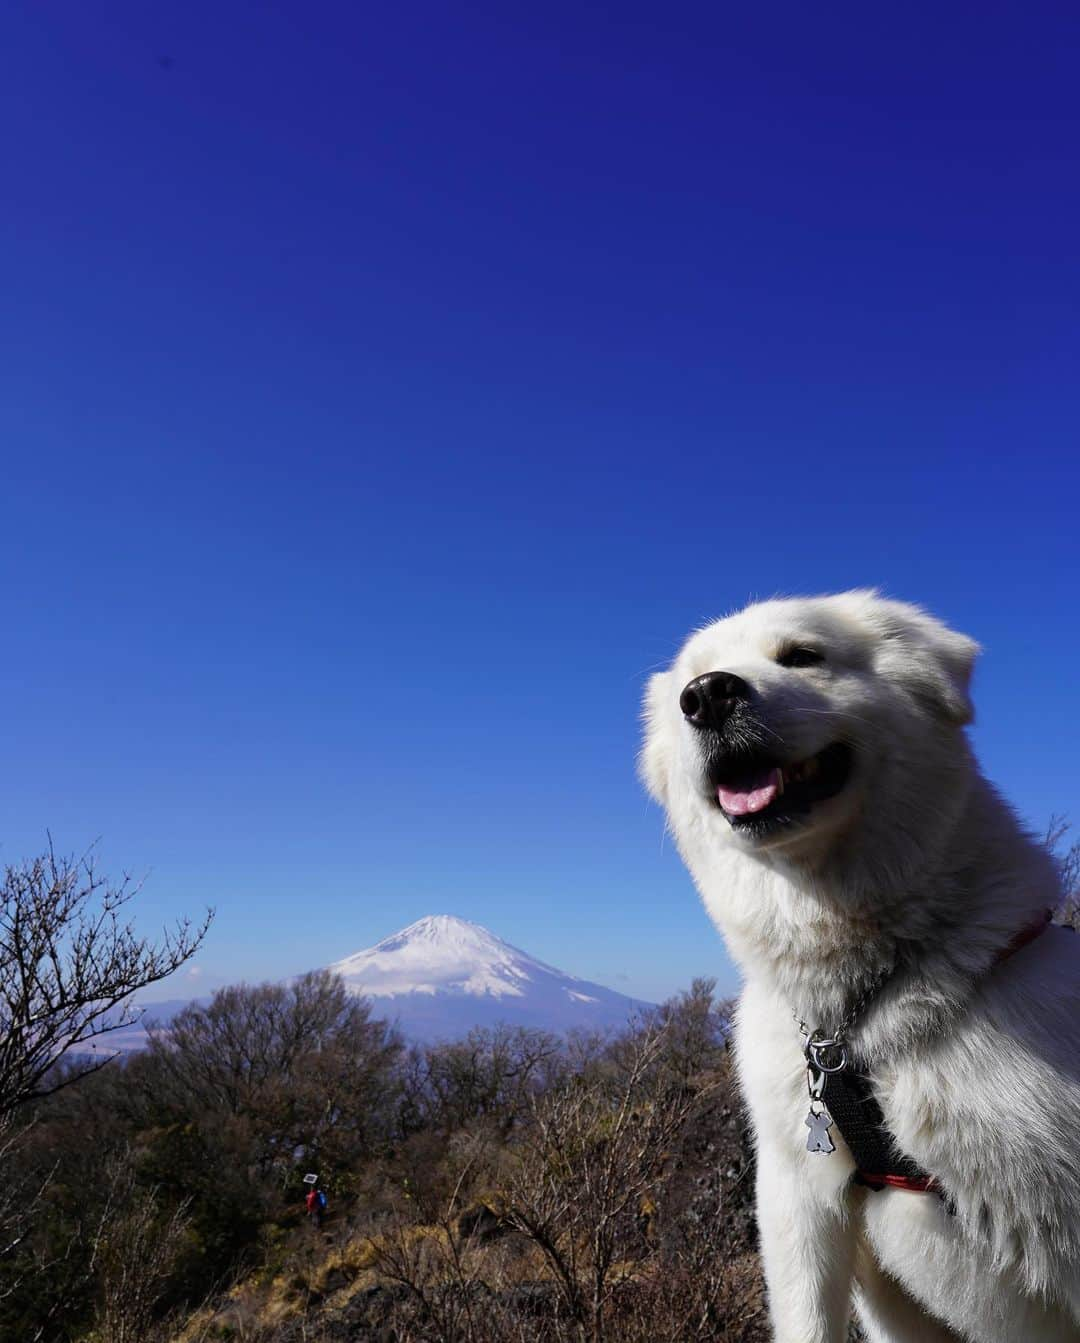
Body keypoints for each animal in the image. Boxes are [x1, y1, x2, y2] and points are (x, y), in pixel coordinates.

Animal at [642, 593, 1080, 1343]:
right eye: (684, 692)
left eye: (802, 655)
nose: (707, 695)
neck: (855, 1016)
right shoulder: (798, 1196)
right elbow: (808, 1316)